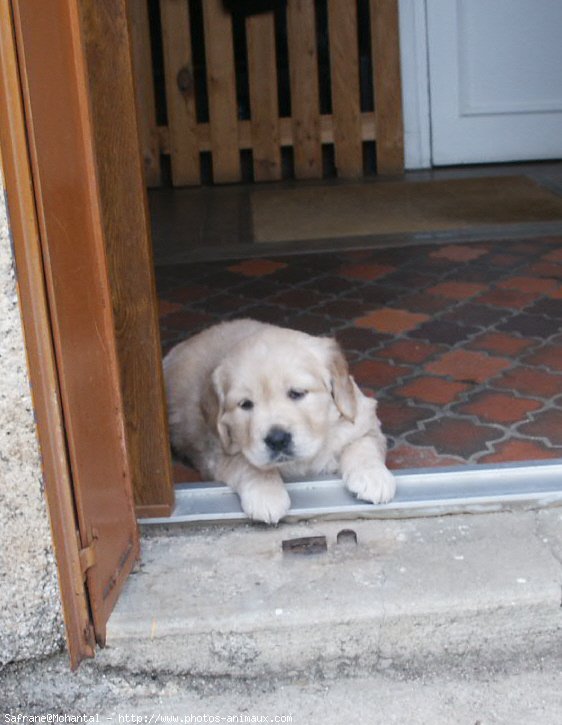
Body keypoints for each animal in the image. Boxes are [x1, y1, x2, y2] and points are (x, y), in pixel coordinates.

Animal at [164, 320, 396, 524]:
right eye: (245, 404)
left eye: (296, 393)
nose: (277, 440)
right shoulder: (218, 449)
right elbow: (247, 463)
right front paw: (266, 495)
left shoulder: (363, 418)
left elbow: (363, 444)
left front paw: (373, 477)